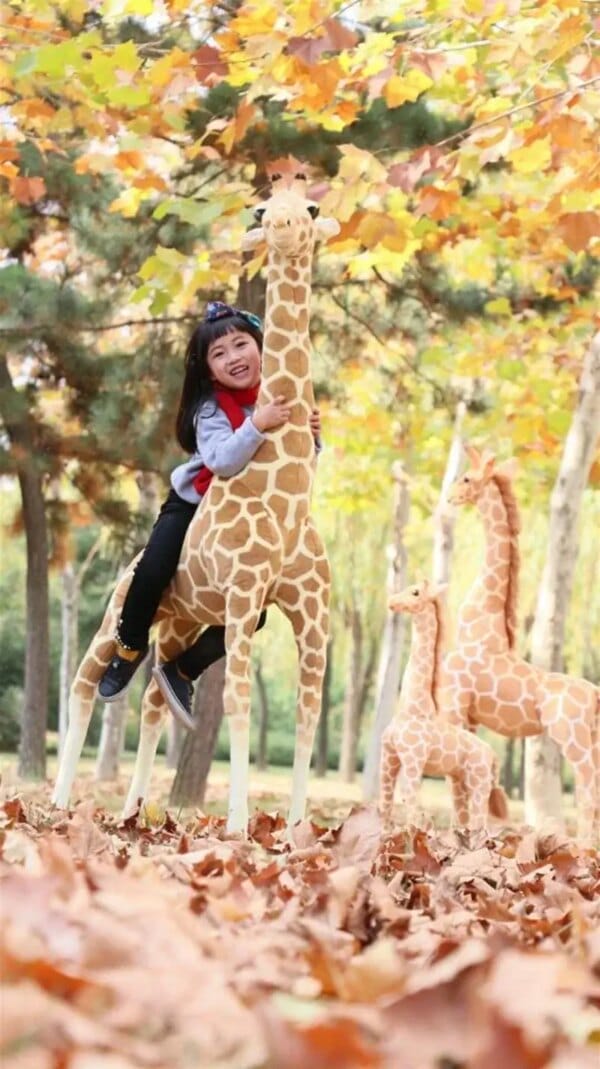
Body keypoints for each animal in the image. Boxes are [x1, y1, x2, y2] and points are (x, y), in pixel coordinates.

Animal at [52, 161, 340, 833]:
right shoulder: (242, 591)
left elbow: (310, 711)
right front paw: (238, 827)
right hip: (125, 604)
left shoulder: (307, 610)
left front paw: (296, 830)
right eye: (263, 208)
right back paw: (56, 803)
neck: (287, 492)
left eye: (310, 210)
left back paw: (135, 812)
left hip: (183, 622)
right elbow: (238, 701)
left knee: (158, 698)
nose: (279, 224)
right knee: (87, 683)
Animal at [379, 580, 508, 835]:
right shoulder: (389, 755)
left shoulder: (413, 760)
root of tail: (493, 756)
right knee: (463, 820)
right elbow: (385, 804)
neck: (412, 709)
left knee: (479, 822)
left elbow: (410, 806)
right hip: (460, 782)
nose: (391, 602)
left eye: (415, 592)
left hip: (479, 784)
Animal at [440, 445, 600, 847]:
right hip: (591, 736)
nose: (450, 498)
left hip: (571, 737)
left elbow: (457, 776)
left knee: (588, 785)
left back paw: (582, 847)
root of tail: (594, 696)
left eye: (467, 477)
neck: (480, 627)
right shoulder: (469, 713)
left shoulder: (455, 700)